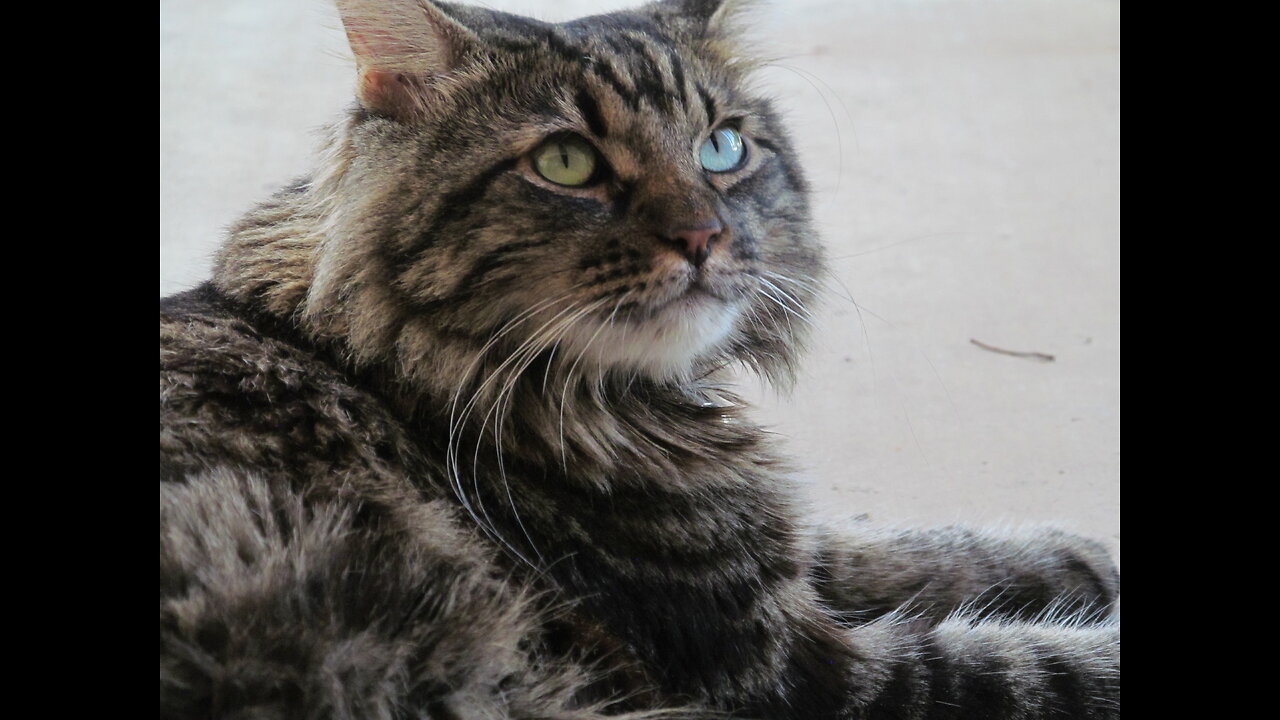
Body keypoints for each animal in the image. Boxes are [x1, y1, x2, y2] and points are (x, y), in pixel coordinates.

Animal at [157, 2, 1121, 712]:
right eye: (566, 161)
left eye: (722, 148)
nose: (702, 236)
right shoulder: (786, 667)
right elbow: (1039, 664)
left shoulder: (772, 555)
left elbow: (893, 548)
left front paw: (1083, 562)